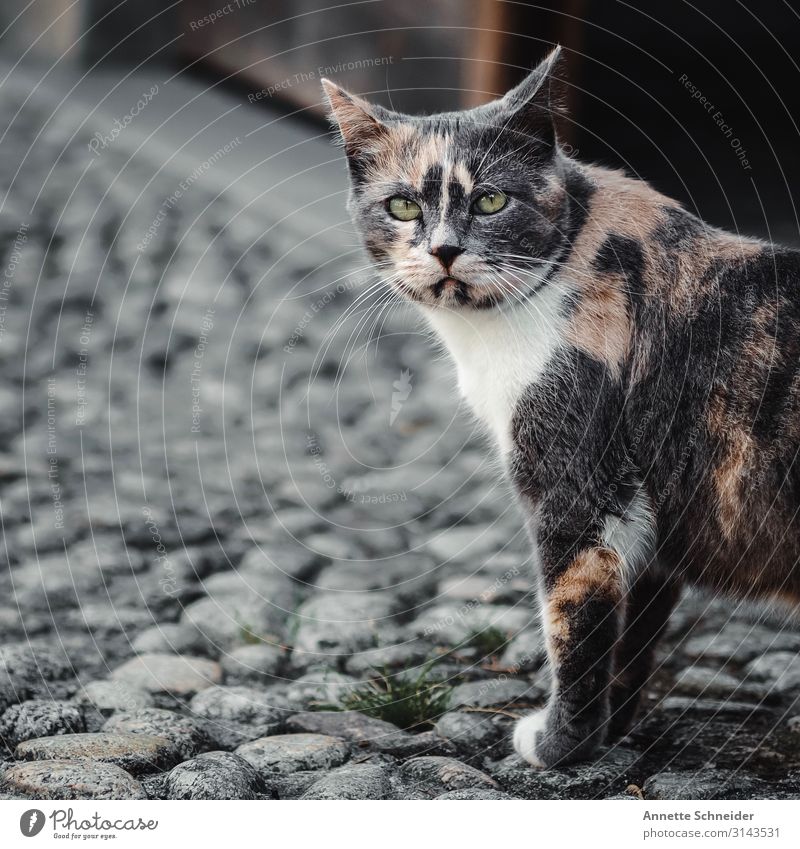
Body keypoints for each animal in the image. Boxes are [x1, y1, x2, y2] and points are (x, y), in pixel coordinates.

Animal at [322, 43, 800, 764]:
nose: (444, 249)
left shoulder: (579, 492)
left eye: (492, 200)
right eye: (402, 206)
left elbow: (574, 628)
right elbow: (632, 635)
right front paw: (611, 732)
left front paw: (558, 746)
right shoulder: (648, 520)